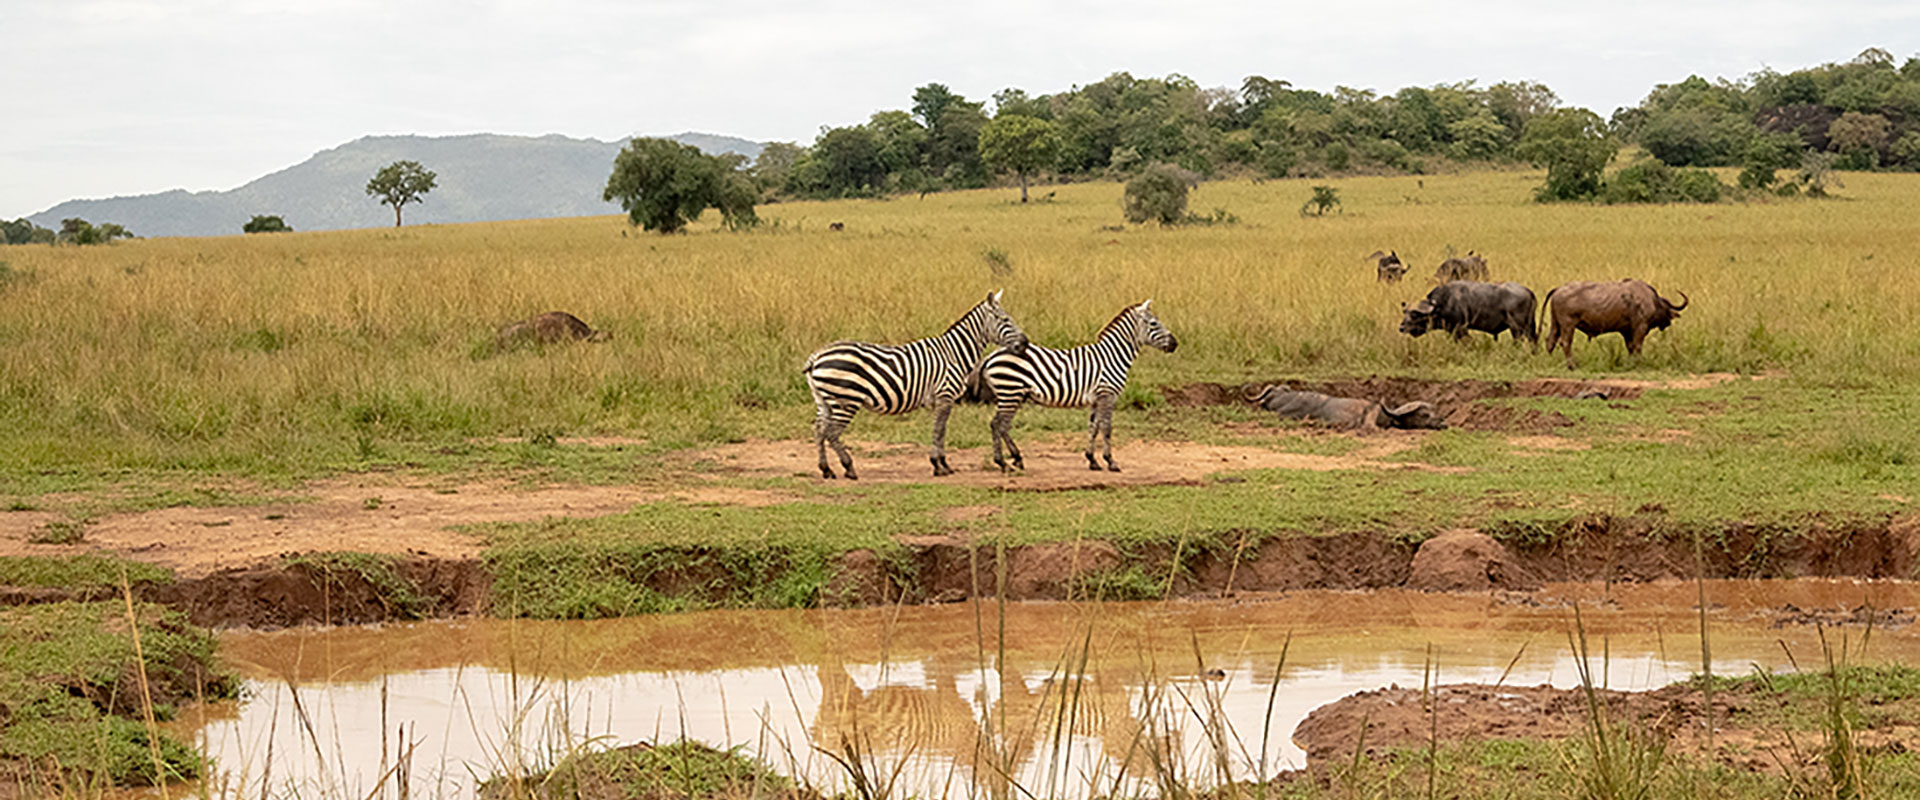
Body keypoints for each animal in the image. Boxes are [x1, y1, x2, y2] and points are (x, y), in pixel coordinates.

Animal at [802, 293, 1029, 479]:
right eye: (1005, 320)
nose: (1025, 343)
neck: (954, 353)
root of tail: (817, 355)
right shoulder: (945, 395)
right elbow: (939, 429)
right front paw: (938, 465)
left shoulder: (942, 399)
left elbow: (941, 430)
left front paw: (943, 464)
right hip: (845, 400)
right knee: (832, 433)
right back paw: (849, 468)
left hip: (824, 400)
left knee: (819, 430)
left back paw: (826, 470)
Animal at [983, 301, 1175, 473]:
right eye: (1153, 323)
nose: (1175, 343)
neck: (1112, 357)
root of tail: (991, 356)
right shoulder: (1107, 395)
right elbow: (1106, 428)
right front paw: (1111, 462)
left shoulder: (1097, 398)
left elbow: (1094, 428)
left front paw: (1092, 460)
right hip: (1010, 392)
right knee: (997, 424)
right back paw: (1002, 463)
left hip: (1015, 395)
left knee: (1003, 426)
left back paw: (1017, 459)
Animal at [1405, 278, 1536, 345]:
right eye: (1405, 312)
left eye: (1414, 315)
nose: (1402, 327)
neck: (1445, 301)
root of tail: (1527, 290)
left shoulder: (1460, 329)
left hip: (1517, 329)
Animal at [1543, 278, 1697, 370]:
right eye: (1665, 310)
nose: (1668, 323)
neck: (1652, 301)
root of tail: (1558, 289)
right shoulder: (1640, 328)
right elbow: (1637, 346)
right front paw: (1638, 363)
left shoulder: (1626, 331)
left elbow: (1630, 347)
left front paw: (1630, 362)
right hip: (1568, 325)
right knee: (1565, 343)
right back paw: (1572, 365)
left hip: (1556, 324)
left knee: (1550, 341)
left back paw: (1550, 361)